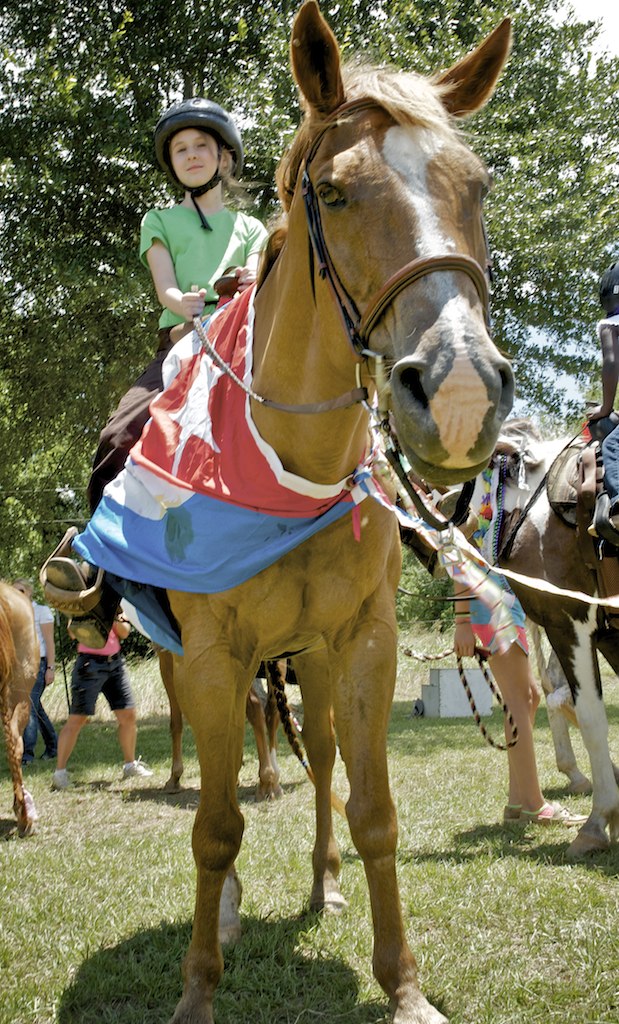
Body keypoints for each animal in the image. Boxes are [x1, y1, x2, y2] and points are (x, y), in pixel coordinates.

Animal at [73, 4, 514, 1022]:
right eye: (335, 193)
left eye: (475, 186)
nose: (459, 392)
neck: (288, 464)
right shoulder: (212, 657)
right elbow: (215, 826)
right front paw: (198, 988)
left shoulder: (362, 643)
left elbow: (374, 811)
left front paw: (403, 986)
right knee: (225, 787)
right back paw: (233, 912)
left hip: (308, 661)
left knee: (319, 764)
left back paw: (323, 882)